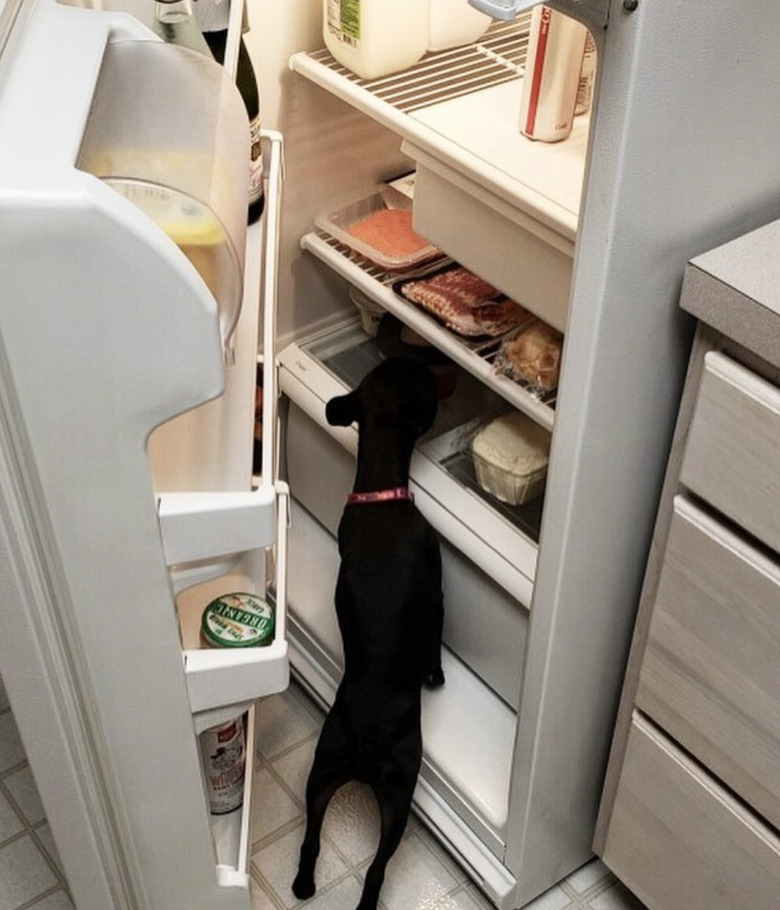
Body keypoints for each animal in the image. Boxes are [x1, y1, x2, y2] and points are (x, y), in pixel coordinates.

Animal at [292, 362, 444, 910]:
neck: (379, 490)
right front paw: (437, 674)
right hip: (401, 793)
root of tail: (369, 736)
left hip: (322, 768)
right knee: (377, 869)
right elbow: (437, 632)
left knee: (311, 838)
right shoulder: (436, 575)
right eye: (422, 378)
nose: (433, 366)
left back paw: (303, 885)